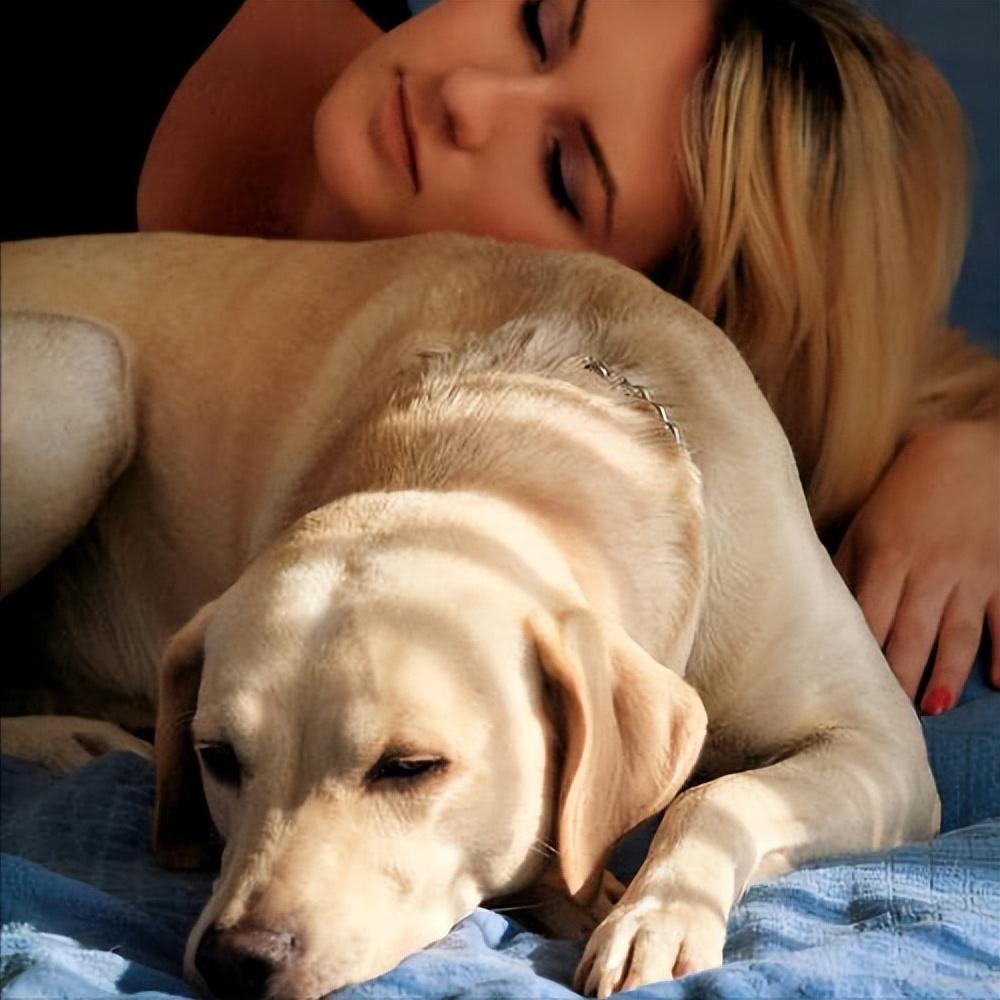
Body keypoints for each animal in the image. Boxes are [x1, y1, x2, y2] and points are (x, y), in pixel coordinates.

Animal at [0, 232, 938, 1000]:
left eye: (409, 768)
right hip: (85, 376)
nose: (237, 962)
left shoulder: (885, 749)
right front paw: (586, 896)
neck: (528, 411)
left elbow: (721, 796)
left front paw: (655, 916)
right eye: (218, 759)